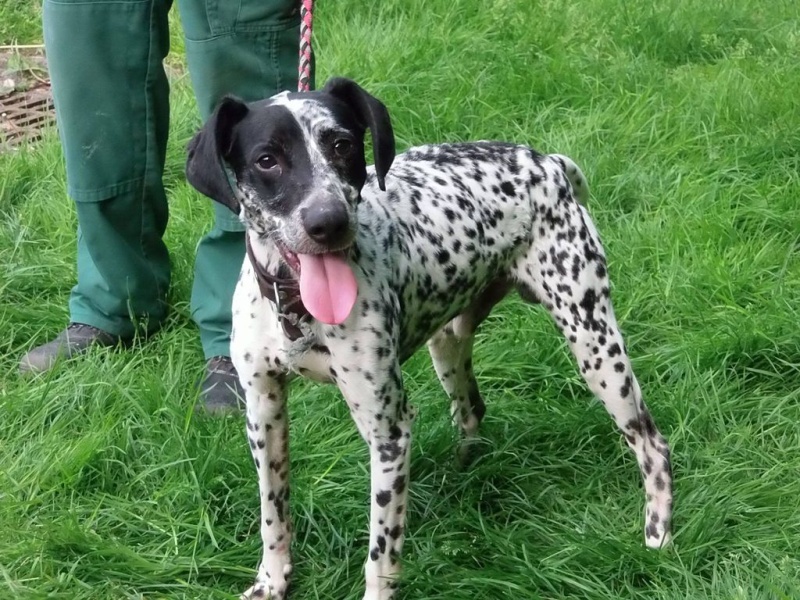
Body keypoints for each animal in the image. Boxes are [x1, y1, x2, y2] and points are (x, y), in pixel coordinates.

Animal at [188, 77, 676, 600]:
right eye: (266, 159)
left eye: (342, 145)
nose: (329, 221)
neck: (296, 307)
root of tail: (547, 161)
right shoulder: (264, 414)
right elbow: (273, 514)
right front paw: (272, 580)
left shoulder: (388, 433)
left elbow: (381, 553)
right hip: (449, 344)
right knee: (472, 409)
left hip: (596, 347)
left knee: (652, 443)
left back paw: (659, 532)